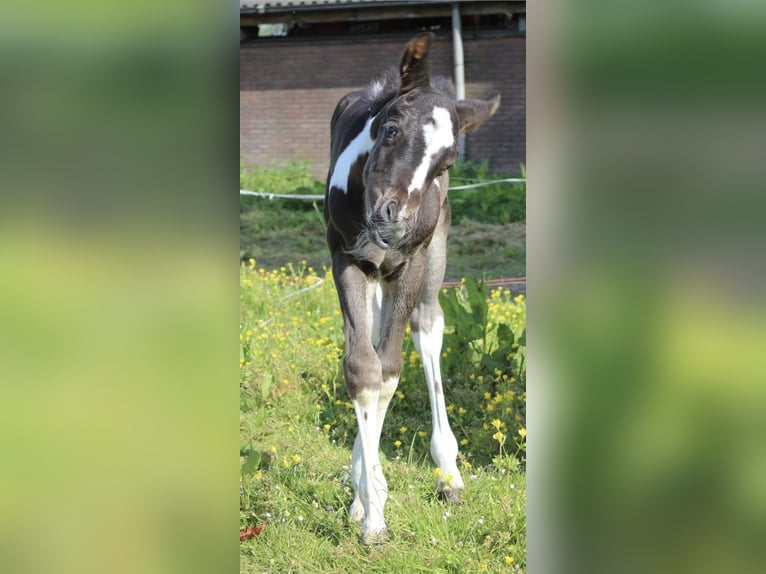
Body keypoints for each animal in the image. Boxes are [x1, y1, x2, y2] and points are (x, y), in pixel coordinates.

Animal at [326, 31, 500, 544]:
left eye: (446, 162)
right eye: (391, 130)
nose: (393, 217)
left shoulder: (410, 263)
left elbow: (388, 370)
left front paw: (373, 506)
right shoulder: (348, 260)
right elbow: (364, 368)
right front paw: (369, 506)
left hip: (431, 256)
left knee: (427, 328)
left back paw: (448, 473)